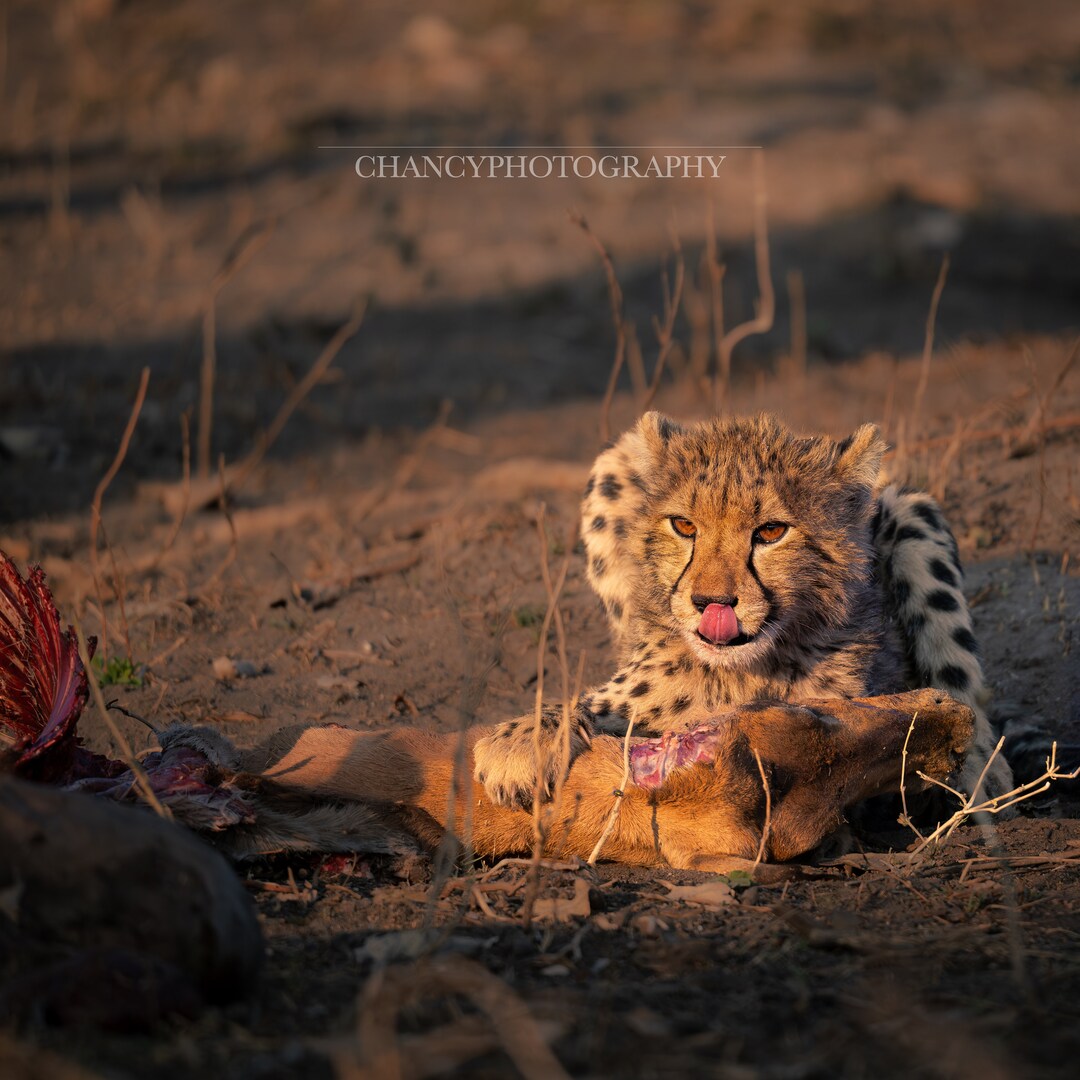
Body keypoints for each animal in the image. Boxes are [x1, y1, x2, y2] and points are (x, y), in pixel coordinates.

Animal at [473, 410, 1013, 813]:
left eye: (771, 531)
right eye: (683, 525)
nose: (711, 603)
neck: (740, 672)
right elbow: (593, 703)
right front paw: (521, 741)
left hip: (912, 512)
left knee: (961, 682)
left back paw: (984, 776)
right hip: (614, 460)